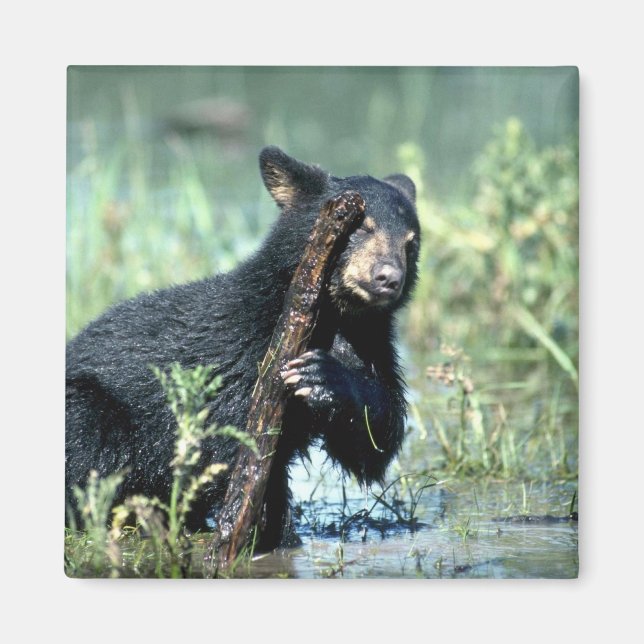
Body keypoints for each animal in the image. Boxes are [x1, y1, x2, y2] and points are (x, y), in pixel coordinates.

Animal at [65, 146, 420, 550]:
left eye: (411, 242)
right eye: (362, 227)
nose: (388, 278)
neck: (335, 317)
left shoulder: (369, 341)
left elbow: (374, 436)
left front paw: (325, 379)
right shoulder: (243, 354)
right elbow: (233, 444)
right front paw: (253, 533)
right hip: (92, 409)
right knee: (93, 443)